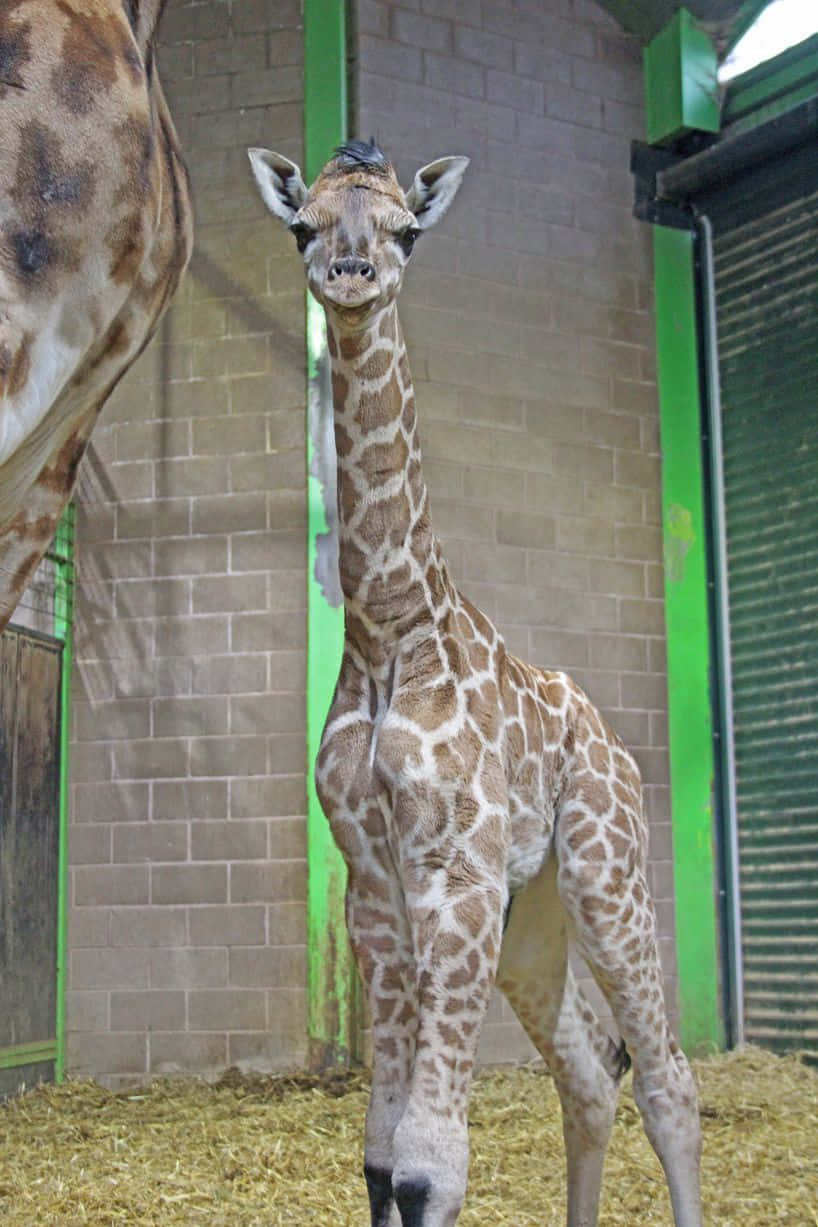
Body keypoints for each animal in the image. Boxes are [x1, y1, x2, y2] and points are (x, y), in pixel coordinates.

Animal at [249, 140, 702, 1227]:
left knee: (667, 1077)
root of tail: (618, 750)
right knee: (590, 1072)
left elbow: (428, 1167)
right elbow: (379, 1158)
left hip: (605, 877)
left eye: (406, 228)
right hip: (531, 917)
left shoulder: (452, 871)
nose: (351, 278)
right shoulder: (374, 884)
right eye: (303, 223)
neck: (389, 632)